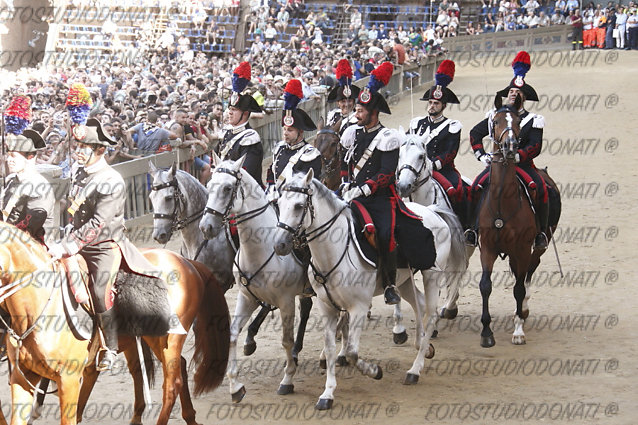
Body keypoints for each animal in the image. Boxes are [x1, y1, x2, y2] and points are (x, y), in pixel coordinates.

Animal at [0, 222, 230, 424]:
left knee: (172, 384)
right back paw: (186, 416)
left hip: (167, 340)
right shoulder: (22, 378)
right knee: (166, 368)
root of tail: (186, 261)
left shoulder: (68, 380)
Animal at [199, 155, 312, 400]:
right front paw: (235, 386)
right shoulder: (247, 297)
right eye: (209, 185)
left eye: (228, 188)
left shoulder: (285, 302)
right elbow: (232, 334)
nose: (206, 227)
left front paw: (287, 380)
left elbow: (286, 341)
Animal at [272, 168, 468, 408]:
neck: (333, 250)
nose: (280, 244)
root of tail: (433, 212)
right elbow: (330, 349)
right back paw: (422, 343)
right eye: (279, 204)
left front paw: (375, 371)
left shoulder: (358, 307)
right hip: (403, 281)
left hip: (431, 274)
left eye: (299, 206)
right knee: (419, 303)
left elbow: (352, 352)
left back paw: (415, 369)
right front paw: (327, 393)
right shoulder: (327, 307)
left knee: (431, 315)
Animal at [478, 96, 564, 348]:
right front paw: (486, 332)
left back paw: (523, 311)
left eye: (517, 122)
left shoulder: (523, 248)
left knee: (528, 272)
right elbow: (485, 285)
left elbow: (517, 287)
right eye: (495, 121)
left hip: (538, 245)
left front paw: (518, 331)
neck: (502, 202)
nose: (510, 148)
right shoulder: (487, 248)